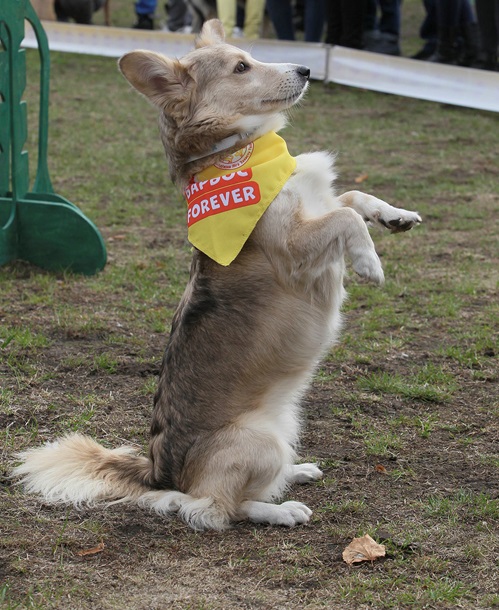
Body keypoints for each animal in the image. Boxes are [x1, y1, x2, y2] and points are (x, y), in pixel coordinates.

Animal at [13, 21, 422, 528]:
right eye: (242, 67)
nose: (306, 69)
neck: (241, 151)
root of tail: (159, 474)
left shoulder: (320, 206)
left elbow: (354, 198)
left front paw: (396, 217)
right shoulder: (295, 248)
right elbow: (346, 218)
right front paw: (369, 262)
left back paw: (297, 470)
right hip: (259, 441)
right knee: (218, 507)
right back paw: (282, 509)